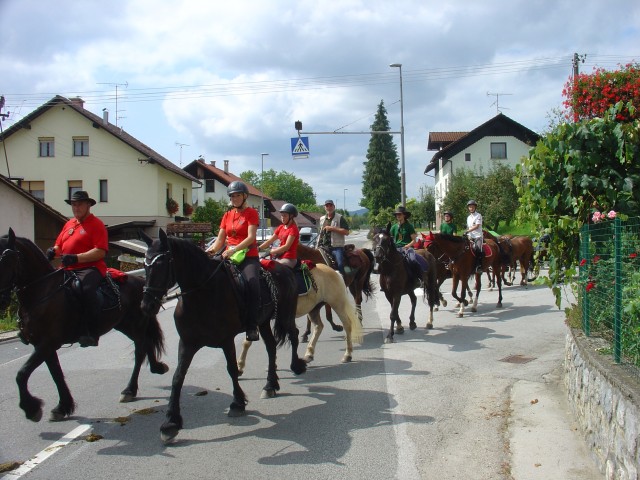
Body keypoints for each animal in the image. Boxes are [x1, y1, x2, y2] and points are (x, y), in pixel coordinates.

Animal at [0, 231, 168, 422]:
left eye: (7, 259)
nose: (1, 300)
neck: (43, 292)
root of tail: (141, 282)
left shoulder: (47, 343)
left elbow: (22, 374)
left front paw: (31, 409)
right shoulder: (43, 345)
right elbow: (56, 373)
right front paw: (62, 407)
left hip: (135, 324)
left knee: (140, 349)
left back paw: (130, 390)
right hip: (123, 325)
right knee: (146, 343)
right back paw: (156, 367)